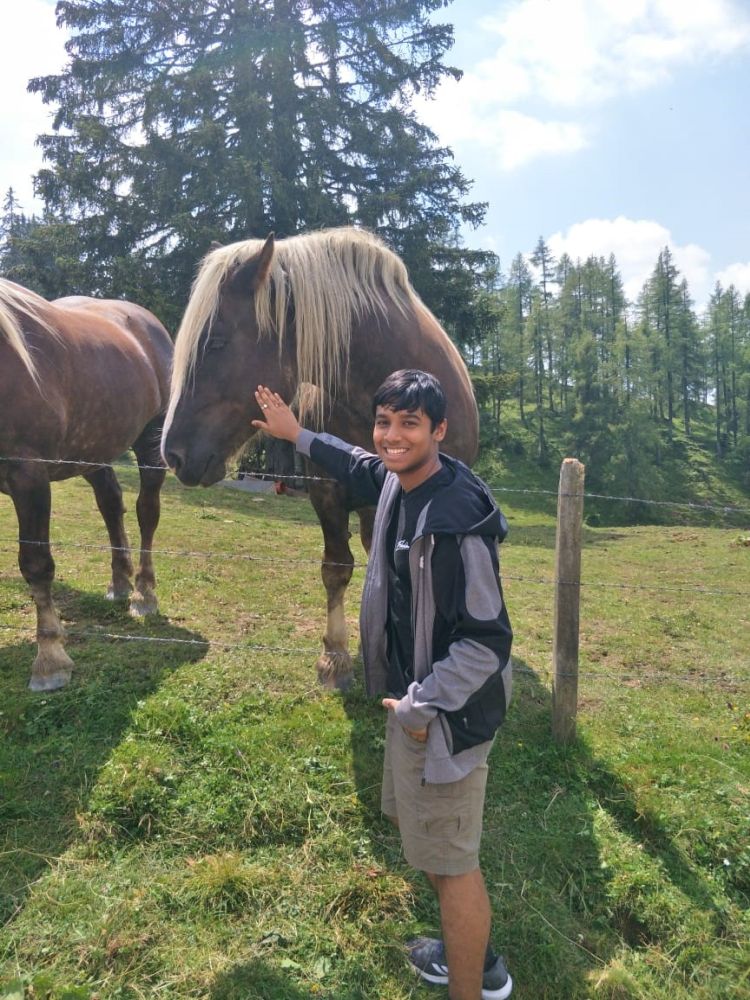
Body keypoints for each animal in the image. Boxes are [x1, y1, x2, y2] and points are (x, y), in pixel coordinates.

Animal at [0, 279, 173, 691]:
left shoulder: (28, 475)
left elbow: (36, 564)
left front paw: (50, 660)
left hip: (150, 441)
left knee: (147, 512)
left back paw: (143, 593)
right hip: (93, 449)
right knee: (110, 503)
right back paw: (119, 582)